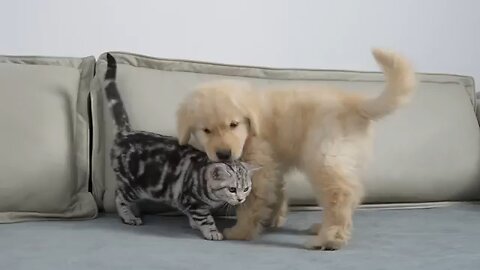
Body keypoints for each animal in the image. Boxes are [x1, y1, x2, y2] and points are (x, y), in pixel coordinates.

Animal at [103, 53, 256, 239]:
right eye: (232, 189)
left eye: (246, 188)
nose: (241, 199)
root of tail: (126, 133)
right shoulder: (193, 201)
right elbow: (205, 218)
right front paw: (212, 232)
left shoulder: (184, 200)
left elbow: (190, 214)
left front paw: (194, 224)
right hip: (132, 185)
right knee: (119, 197)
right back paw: (129, 217)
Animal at [176, 49, 412, 250]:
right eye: (206, 130)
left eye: (233, 124)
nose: (223, 154)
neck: (253, 127)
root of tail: (355, 103)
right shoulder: (274, 164)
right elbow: (277, 190)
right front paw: (273, 218)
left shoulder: (259, 163)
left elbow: (251, 202)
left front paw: (241, 232)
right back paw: (323, 229)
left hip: (324, 156)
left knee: (341, 194)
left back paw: (329, 238)